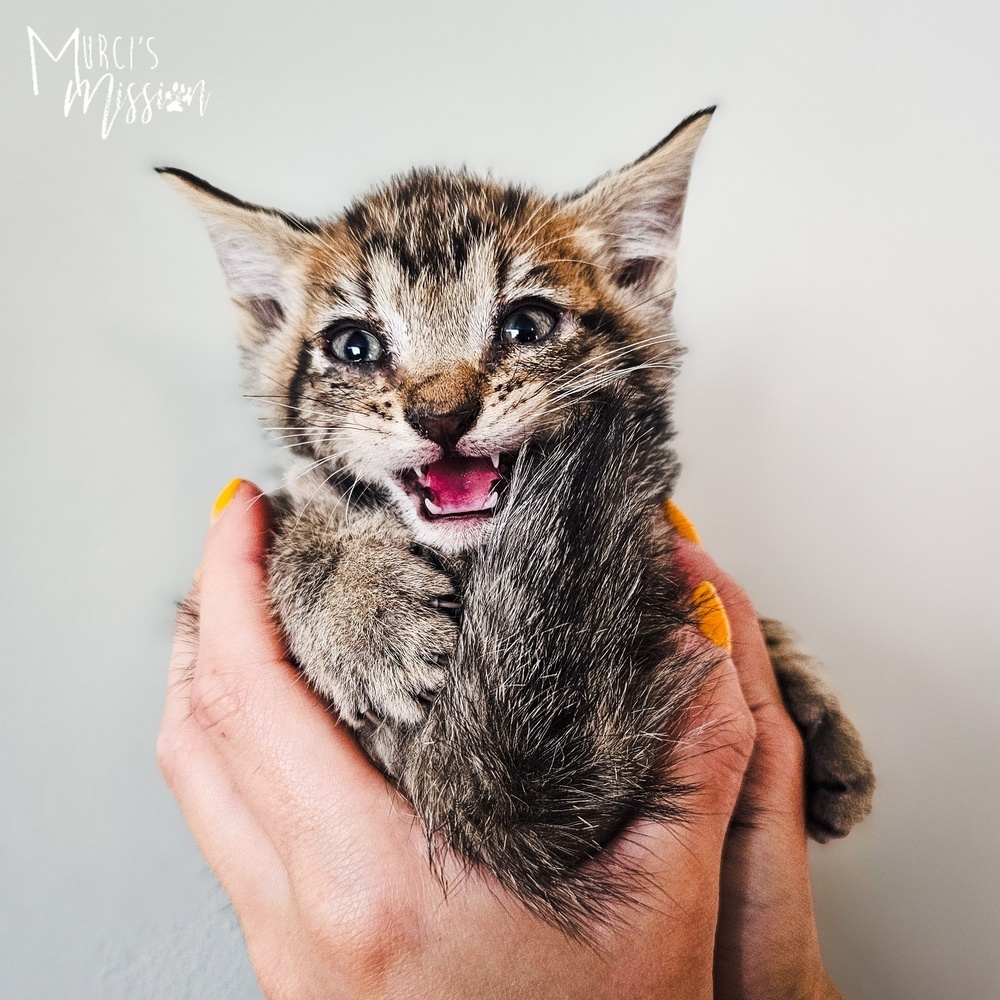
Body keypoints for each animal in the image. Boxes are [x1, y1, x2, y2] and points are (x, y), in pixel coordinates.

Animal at [160, 109, 872, 928]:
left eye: (527, 324)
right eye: (354, 345)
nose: (441, 416)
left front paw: (812, 702)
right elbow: (293, 510)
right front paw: (365, 614)